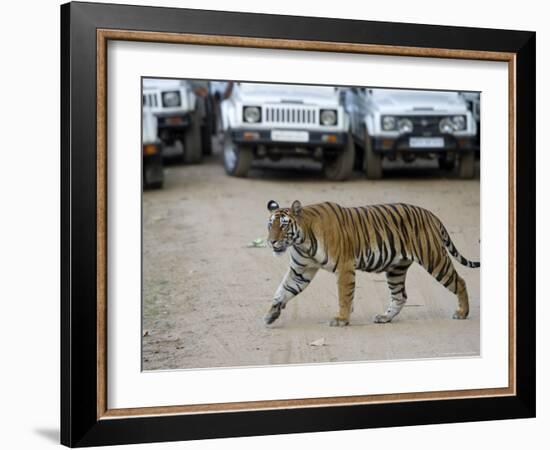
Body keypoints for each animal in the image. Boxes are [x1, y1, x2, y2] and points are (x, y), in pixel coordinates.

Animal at [266, 200, 480, 326]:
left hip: (434, 259)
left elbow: (344, 296)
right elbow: (283, 291)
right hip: (396, 269)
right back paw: (385, 317)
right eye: (270, 225)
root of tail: (430, 214)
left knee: (460, 281)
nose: (271, 242)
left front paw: (341, 319)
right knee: (400, 296)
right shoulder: (301, 271)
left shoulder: (344, 267)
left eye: (283, 225)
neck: (302, 241)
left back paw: (463, 312)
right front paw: (271, 314)